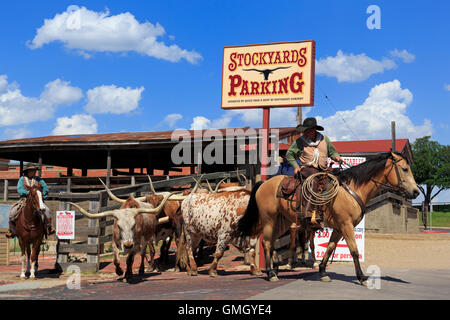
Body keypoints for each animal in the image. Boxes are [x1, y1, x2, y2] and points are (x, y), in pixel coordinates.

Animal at [237, 153, 420, 284]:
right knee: (267, 243)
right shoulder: (346, 225)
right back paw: (270, 273)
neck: (351, 190)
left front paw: (323, 271)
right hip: (269, 219)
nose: (416, 191)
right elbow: (354, 250)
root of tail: (264, 183)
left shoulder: (339, 228)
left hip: (283, 222)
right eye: (404, 169)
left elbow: (330, 247)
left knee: (272, 242)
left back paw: (275, 268)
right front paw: (361, 277)